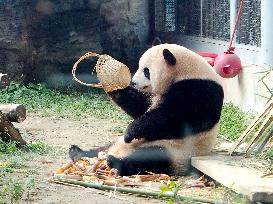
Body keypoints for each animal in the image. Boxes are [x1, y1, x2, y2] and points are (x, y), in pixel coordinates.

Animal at [69, 42, 223, 175]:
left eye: (146, 71)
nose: (133, 82)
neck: (186, 72)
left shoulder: (201, 91)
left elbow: (177, 119)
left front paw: (131, 131)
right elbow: (142, 108)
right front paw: (114, 85)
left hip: (176, 151)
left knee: (152, 158)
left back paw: (116, 163)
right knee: (102, 149)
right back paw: (78, 152)